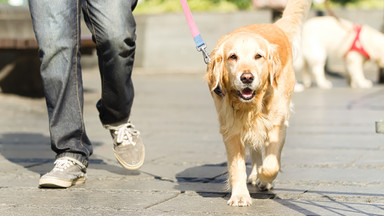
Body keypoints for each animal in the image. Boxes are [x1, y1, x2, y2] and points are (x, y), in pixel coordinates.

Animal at [206, 0, 310, 208]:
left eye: (258, 56)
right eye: (233, 56)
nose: (247, 77)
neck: (250, 106)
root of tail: (275, 26)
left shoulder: (277, 125)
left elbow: (271, 164)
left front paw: (264, 177)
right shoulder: (231, 130)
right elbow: (236, 166)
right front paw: (239, 196)